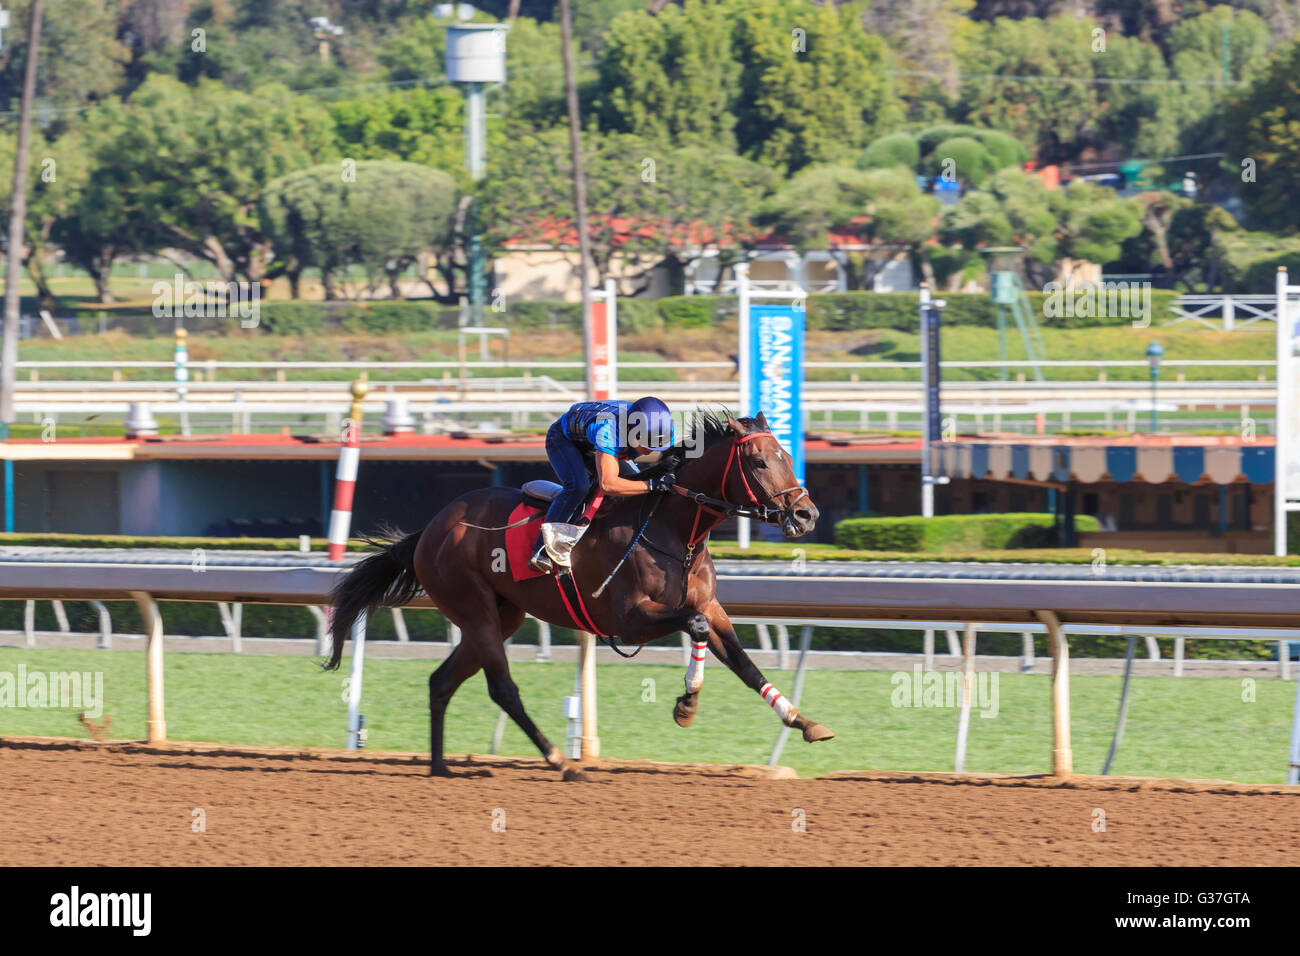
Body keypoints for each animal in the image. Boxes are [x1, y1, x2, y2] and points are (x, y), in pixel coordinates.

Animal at [323, 408, 832, 780]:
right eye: (760, 462)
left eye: (787, 456)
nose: (806, 515)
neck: (674, 529)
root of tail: (430, 529)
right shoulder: (629, 620)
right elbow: (696, 626)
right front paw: (686, 706)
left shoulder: (710, 604)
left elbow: (744, 664)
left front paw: (803, 721)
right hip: (475, 609)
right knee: (503, 689)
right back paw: (560, 761)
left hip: (499, 616)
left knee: (441, 682)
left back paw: (439, 768)